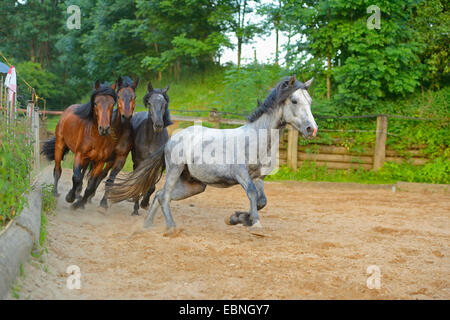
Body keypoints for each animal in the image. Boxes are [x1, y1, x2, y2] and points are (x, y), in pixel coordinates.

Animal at [41, 80, 118, 210]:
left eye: (112, 103)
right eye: (96, 103)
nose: (104, 129)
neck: (96, 138)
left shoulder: (99, 162)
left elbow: (90, 184)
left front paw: (79, 203)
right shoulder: (79, 155)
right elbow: (76, 177)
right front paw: (70, 197)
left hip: (87, 160)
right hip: (60, 145)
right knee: (58, 169)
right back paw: (55, 192)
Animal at [109, 75, 316, 235]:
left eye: (310, 101)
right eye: (294, 101)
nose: (311, 129)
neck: (255, 139)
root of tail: (173, 139)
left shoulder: (259, 177)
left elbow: (261, 201)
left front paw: (237, 218)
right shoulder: (241, 174)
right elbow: (251, 194)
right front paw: (254, 224)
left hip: (195, 185)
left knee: (159, 195)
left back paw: (147, 226)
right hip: (175, 170)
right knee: (165, 195)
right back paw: (171, 228)